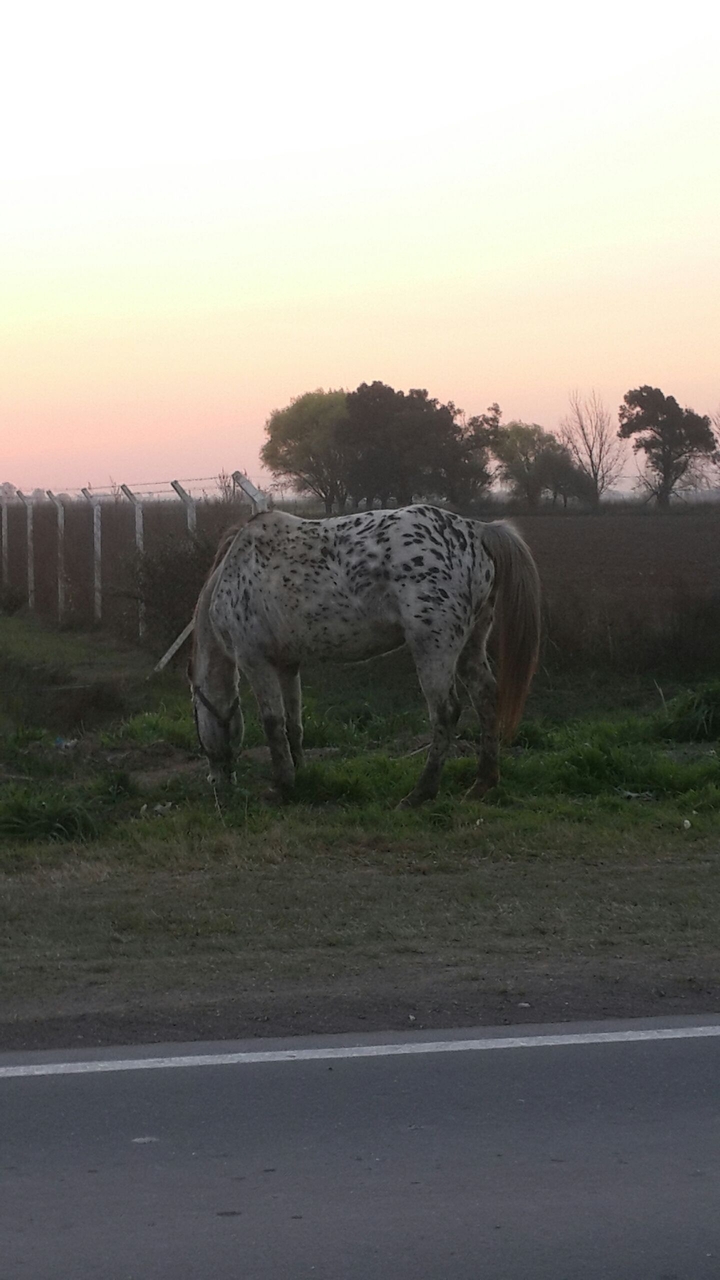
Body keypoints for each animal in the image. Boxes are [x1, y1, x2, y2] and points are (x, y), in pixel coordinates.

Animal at [189, 504, 540, 806]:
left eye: (197, 723)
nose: (217, 782)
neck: (234, 571)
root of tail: (477, 530)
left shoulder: (254, 661)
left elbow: (272, 723)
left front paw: (281, 786)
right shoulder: (288, 665)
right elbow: (293, 722)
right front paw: (300, 773)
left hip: (433, 647)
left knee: (445, 713)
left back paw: (420, 793)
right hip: (470, 645)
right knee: (486, 698)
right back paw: (483, 782)